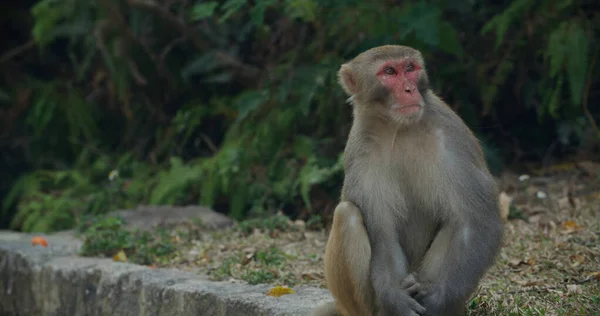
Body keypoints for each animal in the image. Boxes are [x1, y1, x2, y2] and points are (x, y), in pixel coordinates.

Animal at [312, 45, 504, 316]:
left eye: (410, 68)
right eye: (390, 72)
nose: (409, 89)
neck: (398, 128)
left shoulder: (452, 134)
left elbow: (478, 221)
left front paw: (437, 298)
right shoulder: (360, 151)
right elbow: (383, 234)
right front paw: (394, 298)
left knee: (456, 221)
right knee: (347, 214)